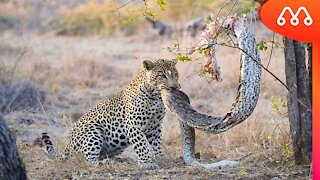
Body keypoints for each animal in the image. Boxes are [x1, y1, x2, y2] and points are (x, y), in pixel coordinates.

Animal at [42, 59, 181, 169]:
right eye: (162, 75)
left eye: (176, 74)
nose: (175, 87)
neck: (155, 96)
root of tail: (68, 145)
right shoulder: (134, 125)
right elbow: (141, 145)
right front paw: (146, 163)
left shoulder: (155, 126)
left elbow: (157, 144)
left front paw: (161, 158)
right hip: (93, 131)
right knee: (89, 160)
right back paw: (107, 162)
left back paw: (120, 159)